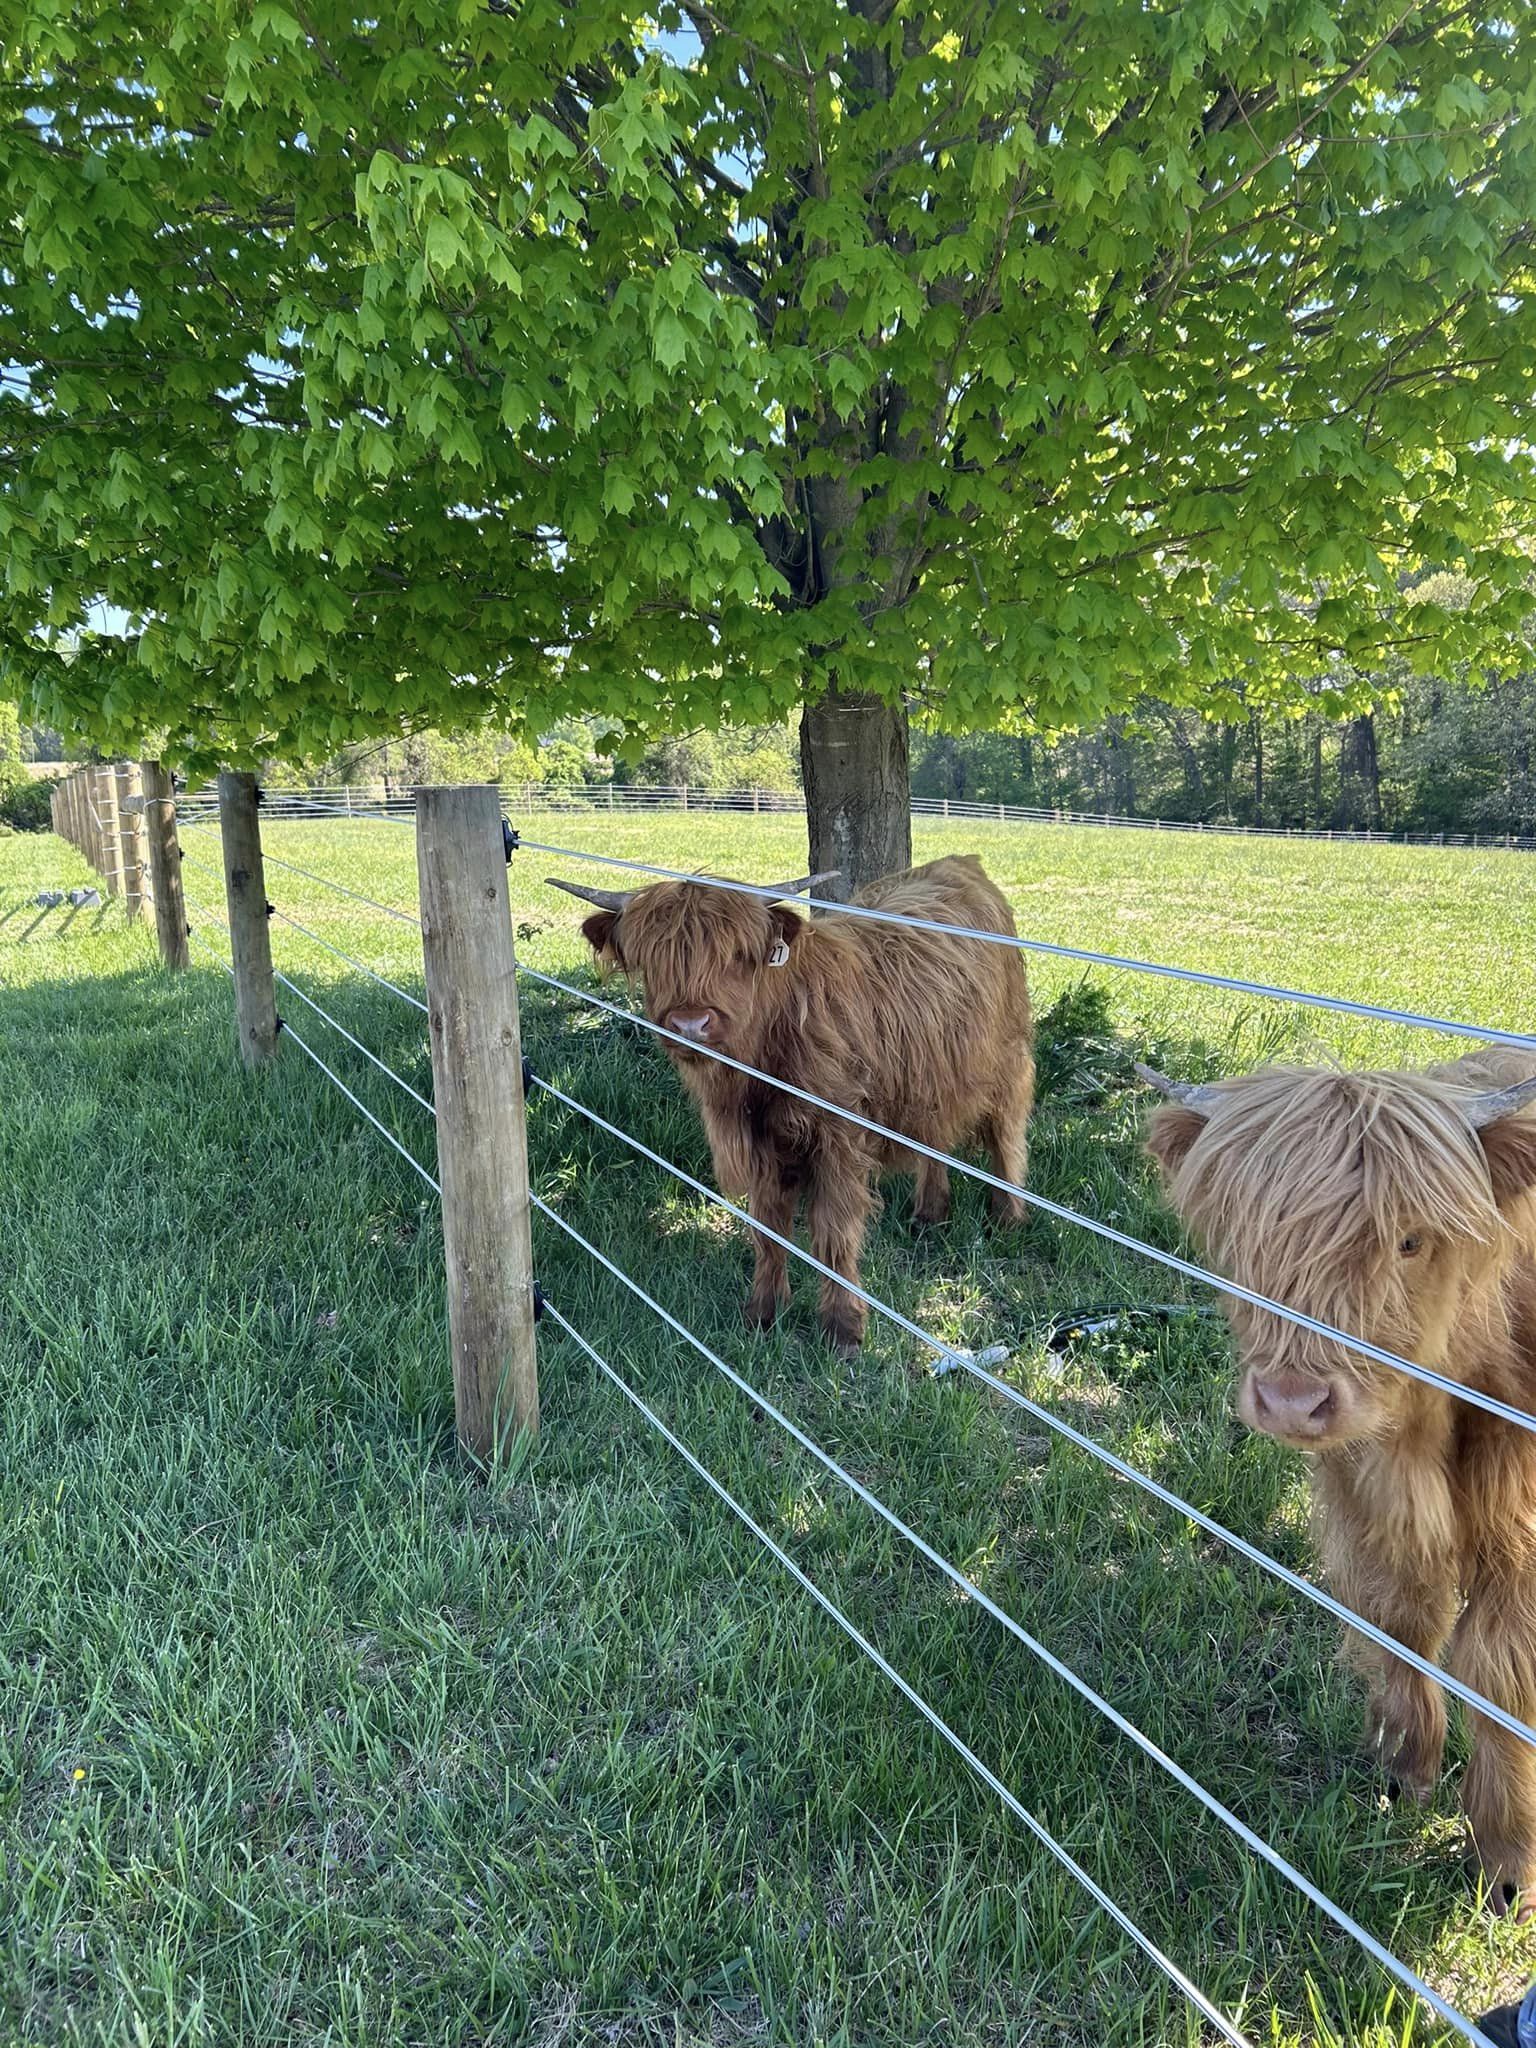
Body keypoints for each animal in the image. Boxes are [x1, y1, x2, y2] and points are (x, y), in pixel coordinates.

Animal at [548, 855, 1035, 1355]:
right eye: (653, 959)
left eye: (738, 956)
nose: (690, 1023)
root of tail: (960, 863)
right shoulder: (760, 1146)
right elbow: (768, 1231)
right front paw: (763, 1312)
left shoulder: (839, 1139)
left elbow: (833, 1234)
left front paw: (843, 1330)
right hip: (930, 1077)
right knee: (934, 1138)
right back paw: (930, 1215)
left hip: (1006, 1056)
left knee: (1006, 1133)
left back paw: (1008, 1219)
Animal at [1139, 1047, 1536, 1915]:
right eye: (1244, 1238)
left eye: (1411, 1241)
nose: (1292, 1400)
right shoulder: (1365, 1491)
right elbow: (1402, 1618)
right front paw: (1407, 1771)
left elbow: (1501, 1667)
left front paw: (1506, 1862)